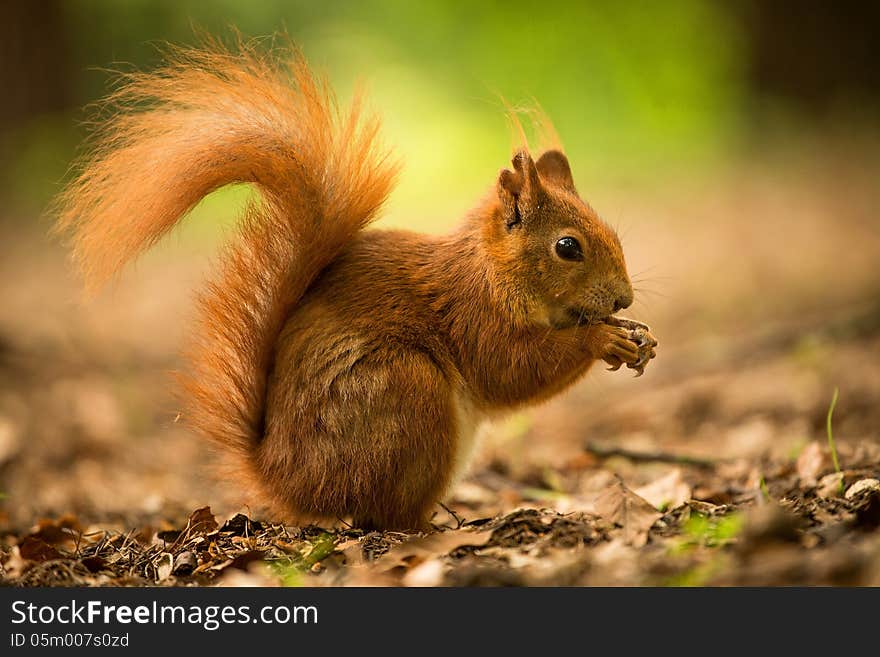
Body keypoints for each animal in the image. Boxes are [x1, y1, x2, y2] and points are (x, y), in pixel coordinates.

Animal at [55, 38, 656, 532]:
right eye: (568, 247)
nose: (623, 298)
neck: (492, 269)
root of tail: (283, 477)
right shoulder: (473, 313)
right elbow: (513, 370)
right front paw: (602, 338)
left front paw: (639, 338)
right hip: (405, 390)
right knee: (380, 515)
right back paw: (440, 526)